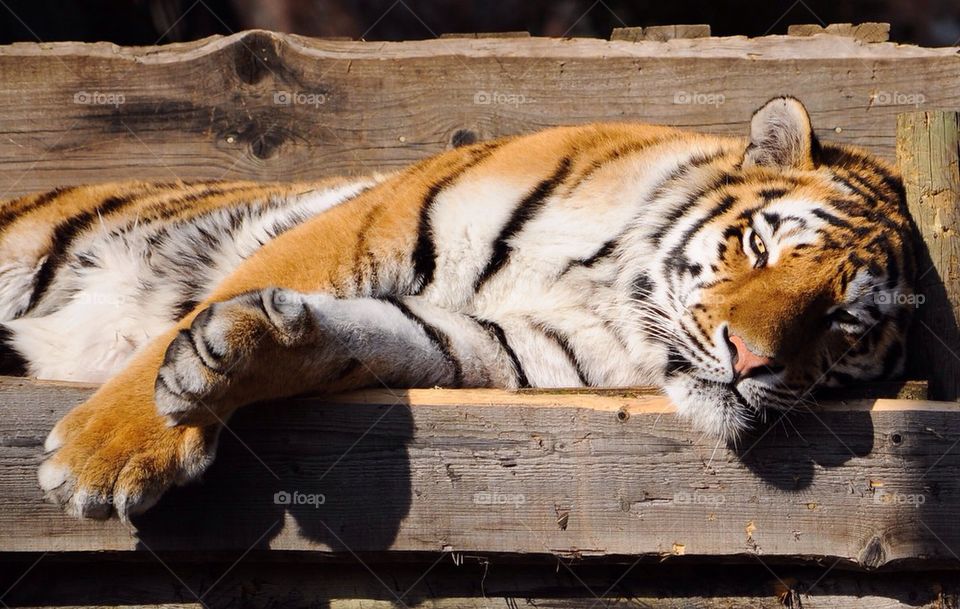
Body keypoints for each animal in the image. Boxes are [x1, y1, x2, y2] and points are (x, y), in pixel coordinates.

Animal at [0, 95, 916, 516]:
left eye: (842, 323)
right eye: (761, 247)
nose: (751, 361)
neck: (612, 289)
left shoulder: (501, 346)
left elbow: (369, 335)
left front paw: (256, 345)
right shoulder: (369, 224)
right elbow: (219, 300)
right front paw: (109, 454)